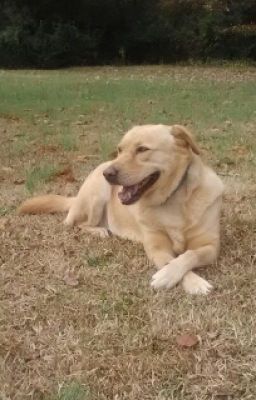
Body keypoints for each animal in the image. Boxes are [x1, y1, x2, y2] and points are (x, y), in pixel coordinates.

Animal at [18, 124, 223, 294]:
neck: (172, 198)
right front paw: (180, 278)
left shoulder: (211, 246)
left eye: (142, 149)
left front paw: (180, 277)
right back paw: (99, 230)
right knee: (76, 224)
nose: (108, 173)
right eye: (120, 149)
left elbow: (190, 254)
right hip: (97, 194)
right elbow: (171, 260)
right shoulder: (156, 248)